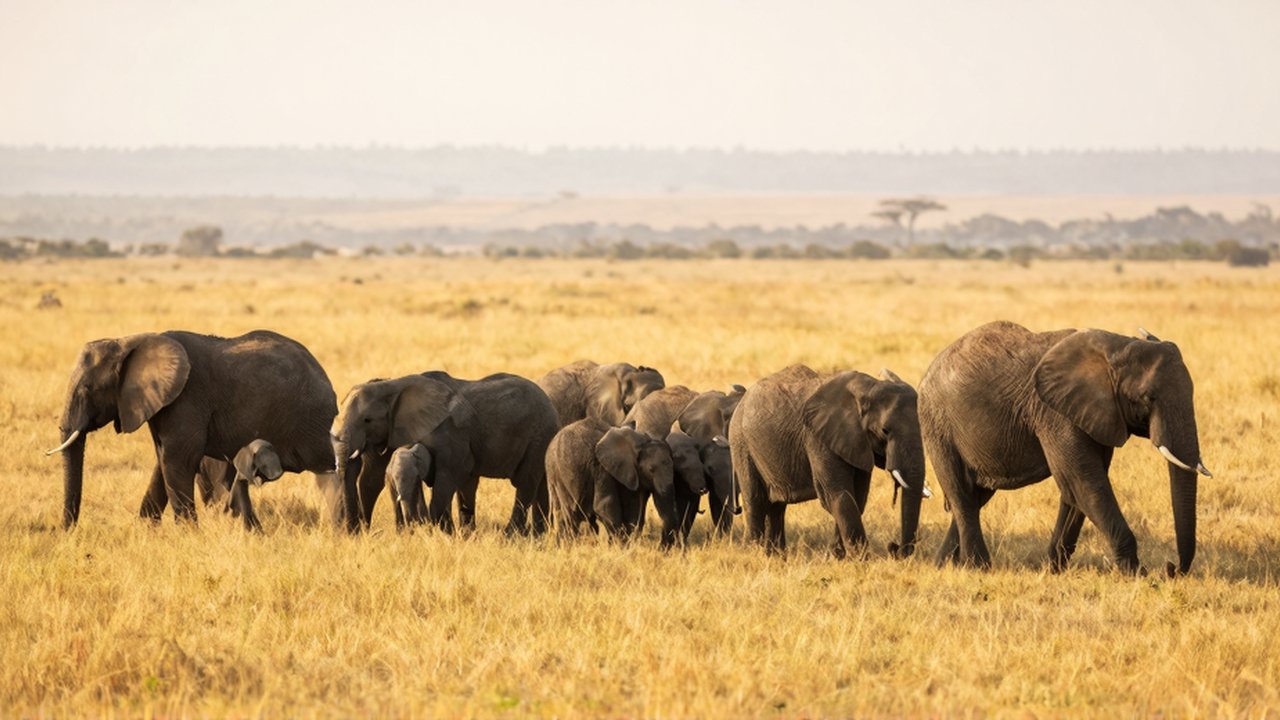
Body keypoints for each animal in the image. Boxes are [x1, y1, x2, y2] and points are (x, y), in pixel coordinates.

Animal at [47, 330, 339, 528]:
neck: (132, 340)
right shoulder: (161, 403)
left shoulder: (186, 399)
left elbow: (177, 461)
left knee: (327, 469)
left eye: (88, 389)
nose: (68, 531)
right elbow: (162, 462)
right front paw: (145, 530)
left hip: (311, 418)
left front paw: (187, 533)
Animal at [331, 371, 558, 534]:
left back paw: (511, 535)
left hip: (539, 434)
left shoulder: (450, 432)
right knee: (540, 484)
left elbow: (449, 474)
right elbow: (373, 478)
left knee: (525, 482)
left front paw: (441, 532)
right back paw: (537, 535)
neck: (394, 385)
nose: (350, 532)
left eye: (367, 420)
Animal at [545, 418, 677, 546]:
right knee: (570, 514)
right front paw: (618, 546)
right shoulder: (602, 469)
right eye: (651, 470)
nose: (662, 546)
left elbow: (633, 510)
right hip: (559, 477)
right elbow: (605, 505)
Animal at [729, 365, 928, 558]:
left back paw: (775, 556)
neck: (867, 388)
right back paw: (753, 552)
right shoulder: (817, 437)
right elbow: (837, 494)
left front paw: (836, 557)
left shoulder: (857, 442)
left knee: (777, 506)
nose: (894, 547)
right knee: (755, 500)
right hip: (741, 444)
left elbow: (858, 497)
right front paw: (862, 559)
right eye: (885, 431)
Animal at [918, 321, 1212, 575]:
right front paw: (1138, 575)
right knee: (961, 494)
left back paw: (943, 567)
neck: (1116, 347)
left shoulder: (1096, 415)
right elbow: (1084, 482)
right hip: (937, 425)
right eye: (1147, 398)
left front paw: (1053, 570)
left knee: (976, 496)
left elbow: (1076, 490)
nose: (1171, 568)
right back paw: (979, 568)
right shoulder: (1055, 414)